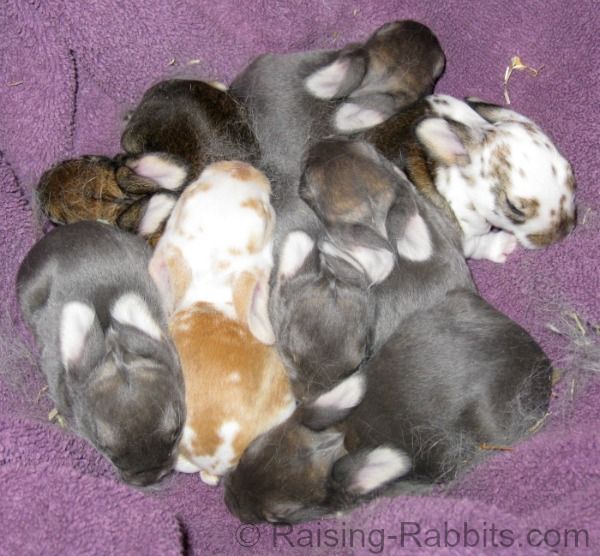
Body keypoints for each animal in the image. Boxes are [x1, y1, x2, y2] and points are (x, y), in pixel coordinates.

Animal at [366, 94, 576, 262]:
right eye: (513, 207)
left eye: (571, 173)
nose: (565, 231)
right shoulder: (466, 238)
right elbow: (478, 246)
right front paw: (504, 244)